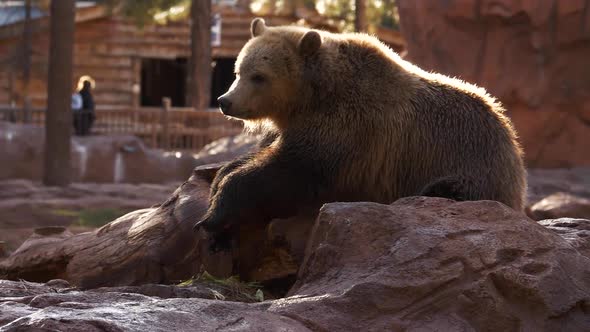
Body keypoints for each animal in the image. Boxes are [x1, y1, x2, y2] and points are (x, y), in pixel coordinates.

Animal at [197, 18, 528, 236]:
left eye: (259, 76)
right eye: (239, 71)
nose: (226, 101)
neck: (310, 97)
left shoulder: (347, 127)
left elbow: (292, 170)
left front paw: (215, 213)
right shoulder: (297, 125)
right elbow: (264, 155)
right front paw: (219, 179)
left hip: (472, 167)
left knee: (446, 190)